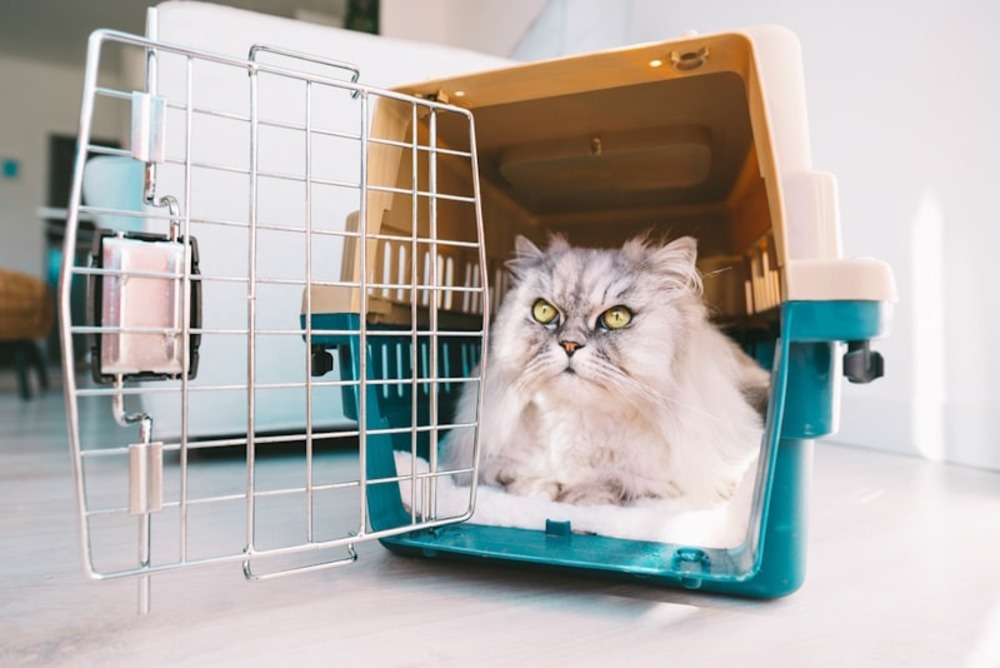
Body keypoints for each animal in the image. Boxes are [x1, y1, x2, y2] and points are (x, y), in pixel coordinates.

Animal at [442, 234, 768, 506]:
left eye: (616, 317)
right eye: (544, 311)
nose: (569, 344)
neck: (579, 420)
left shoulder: (673, 483)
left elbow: (615, 482)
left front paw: (577, 498)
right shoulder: (489, 463)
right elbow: (519, 478)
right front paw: (542, 490)